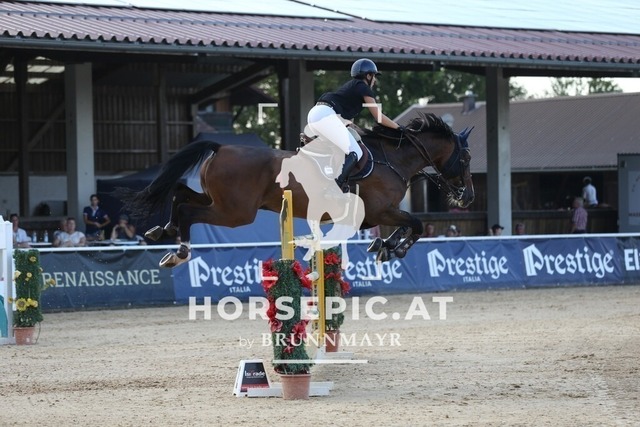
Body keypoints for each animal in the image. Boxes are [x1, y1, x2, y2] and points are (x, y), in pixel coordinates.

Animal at [123, 112, 475, 267]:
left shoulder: (375, 215)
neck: (393, 158)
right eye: (467, 159)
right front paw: (394, 249)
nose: (468, 197)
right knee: (187, 209)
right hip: (235, 212)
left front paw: (384, 247)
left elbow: (406, 226)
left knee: (181, 193)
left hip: (219, 201)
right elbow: (416, 225)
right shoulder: (379, 211)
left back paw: (162, 230)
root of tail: (220, 147)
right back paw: (179, 251)